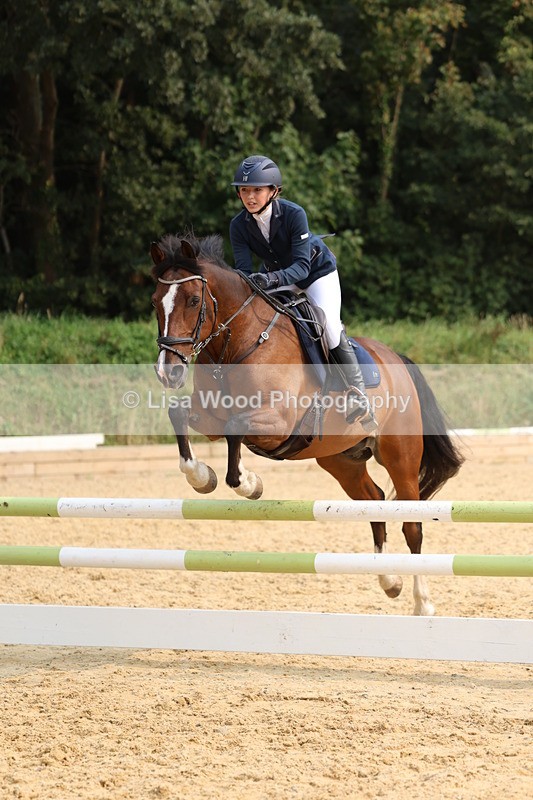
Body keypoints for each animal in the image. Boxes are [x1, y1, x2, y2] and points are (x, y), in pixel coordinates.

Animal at [150, 232, 464, 616]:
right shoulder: (210, 416)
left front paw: (250, 485)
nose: (168, 372)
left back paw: (423, 604)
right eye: (155, 302)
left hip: (400, 455)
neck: (238, 343)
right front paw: (201, 478)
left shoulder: (278, 422)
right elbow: (179, 414)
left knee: (412, 524)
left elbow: (236, 430)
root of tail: (396, 360)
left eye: (194, 300)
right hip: (340, 459)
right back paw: (390, 581)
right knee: (374, 501)